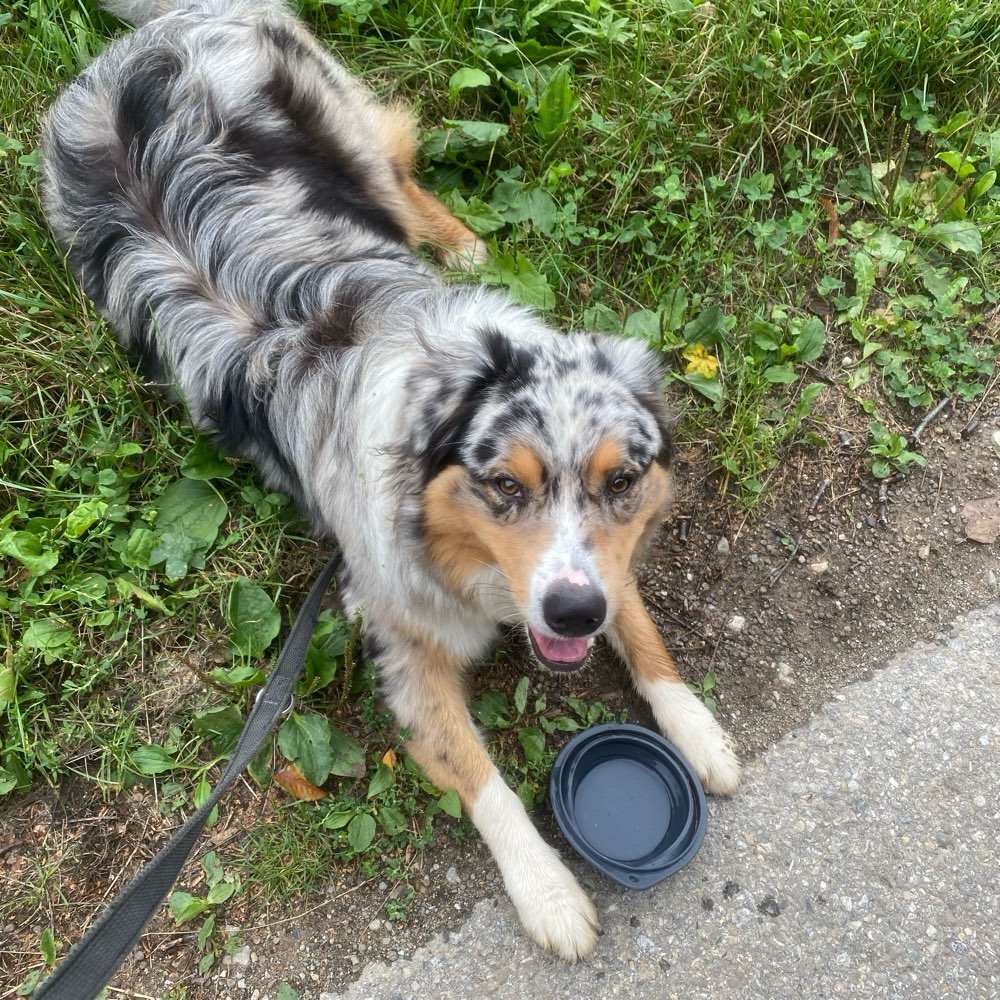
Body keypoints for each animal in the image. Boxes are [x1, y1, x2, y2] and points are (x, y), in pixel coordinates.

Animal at [41, 0, 744, 960]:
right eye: (503, 486)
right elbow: (482, 776)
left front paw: (698, 728)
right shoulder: (400, 642)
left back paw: (464, 244)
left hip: (342, 133)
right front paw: (548, 893)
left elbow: (639, 624)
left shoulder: (599, 565)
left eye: (623, 479)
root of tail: (147, 35)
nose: (569, 617)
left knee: (403, 178)